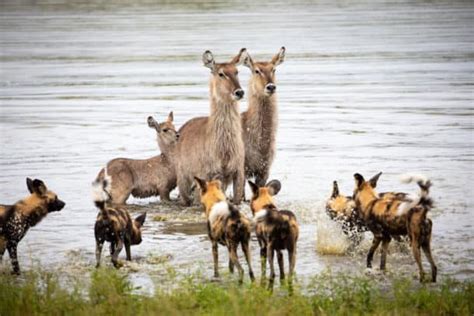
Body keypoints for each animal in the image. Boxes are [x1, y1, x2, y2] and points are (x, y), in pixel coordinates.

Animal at [175, 48, 248, 206]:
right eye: (221, 73)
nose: (239, 92)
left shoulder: (238, 174)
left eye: (237, 71)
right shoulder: (207, 176)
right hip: (183, 179)